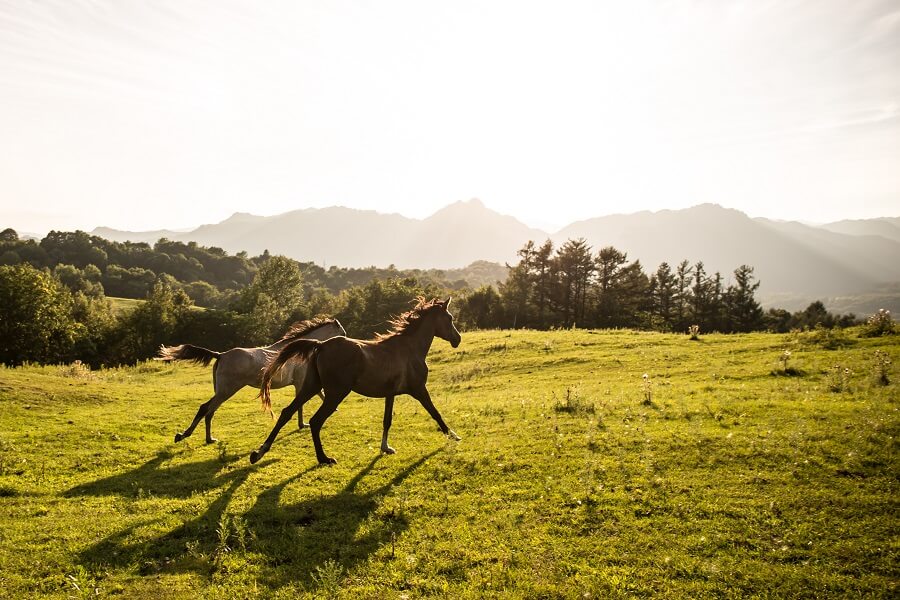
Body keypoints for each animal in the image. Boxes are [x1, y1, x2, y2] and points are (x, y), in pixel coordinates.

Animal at [157, 316, 344, 442]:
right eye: (342, 332)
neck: (299, 350)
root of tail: (221, 355)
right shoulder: (301, 383)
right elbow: (305, 402)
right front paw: (305, 423)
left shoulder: (300, 384)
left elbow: (309, 399)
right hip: (227, 390)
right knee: (206, 408)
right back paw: (185, 435)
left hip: (221, 391)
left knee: (210, 411)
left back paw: (208, 439)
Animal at [250, 298, 460, 466]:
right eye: (449, 318)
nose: (457, 339)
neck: (409, 349)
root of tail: (320, 345)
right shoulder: (419, 389)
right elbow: (435, 413)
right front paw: (454, 436)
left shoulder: (390, 394)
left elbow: (387, 420)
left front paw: (386, 448)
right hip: (336, 393)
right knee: (315, 421)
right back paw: (324, 459)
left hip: (311, 387)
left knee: (287, 413)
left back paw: (258, 453)